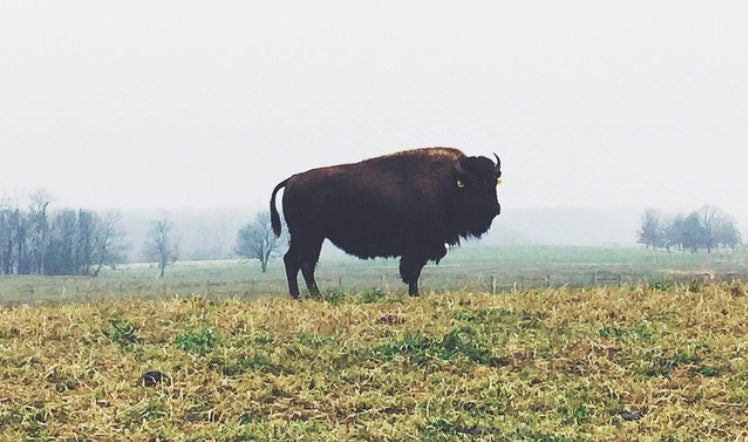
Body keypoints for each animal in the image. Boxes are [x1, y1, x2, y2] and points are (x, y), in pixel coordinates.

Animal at [269, 147, 502, 297]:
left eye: (493, 181)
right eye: (472, 183)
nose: (494, 209)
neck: (449, 182)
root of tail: (292, 179)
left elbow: (413, 270)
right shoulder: (417, 246)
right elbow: (412, 270)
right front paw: (414, 293)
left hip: (303, 237)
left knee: (292, 261)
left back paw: (298, 296)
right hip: (311, 236)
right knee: (304, 263)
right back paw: (315, 295)